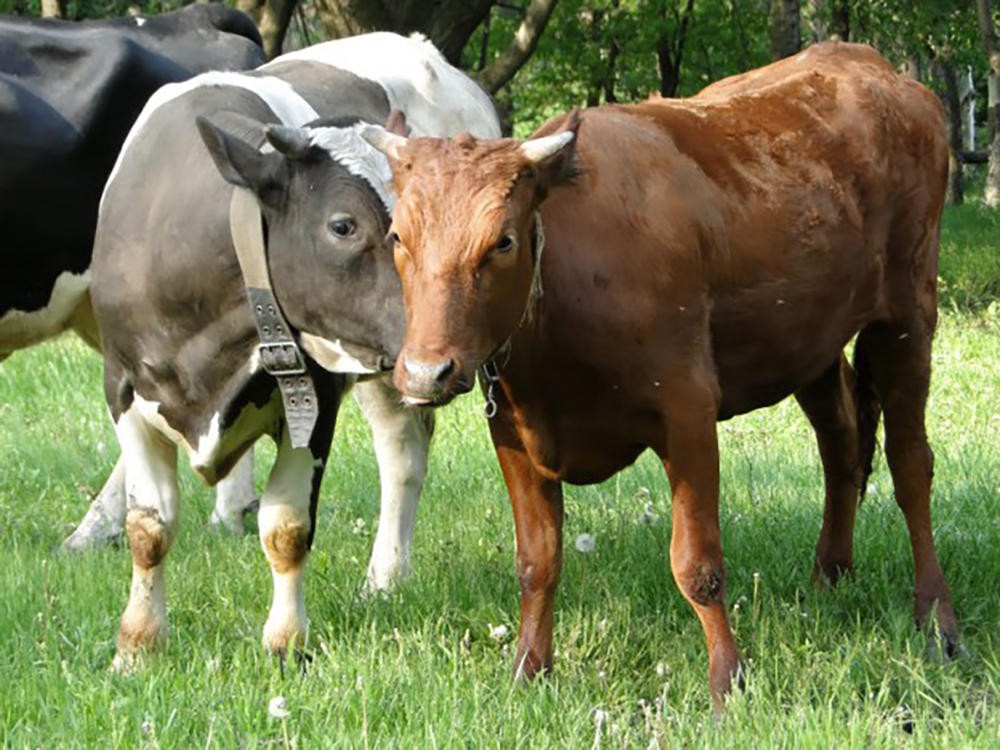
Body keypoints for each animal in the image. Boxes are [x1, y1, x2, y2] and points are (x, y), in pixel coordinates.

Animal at [91, 33, 500, 668]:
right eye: (343, 225)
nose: (445, 348)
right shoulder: (123, 390)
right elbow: (149, 527)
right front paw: (137, 647)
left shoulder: (316, 399)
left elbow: (285, 527)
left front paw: (286, 643)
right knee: (402, 451)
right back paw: (385, 579)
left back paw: (385, 575)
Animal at [364, 42, 956, 712]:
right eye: (397, 236)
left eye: (503, 241)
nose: (425, 371)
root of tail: (866, 62)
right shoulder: (513, 430)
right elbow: (537, 560)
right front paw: (528, 670)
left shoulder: (688, 410)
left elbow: (697, 564)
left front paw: (728, 684)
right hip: (812, 338)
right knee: (843, 445)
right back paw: (829, 577)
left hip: (907, 315)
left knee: (911, 466)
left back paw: (937, 619)